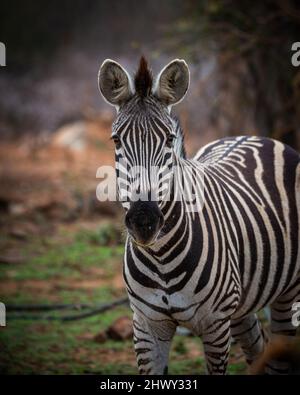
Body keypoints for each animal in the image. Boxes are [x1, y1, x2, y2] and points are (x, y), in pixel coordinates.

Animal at [98, 55, 300, 374]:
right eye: (116, 140)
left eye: (169, 139)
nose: (144, 221)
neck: (161, 257)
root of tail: (258, 137)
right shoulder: (146, 325)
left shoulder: (215, 326)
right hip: (241, 305)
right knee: (259, 349)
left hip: (287, 293)